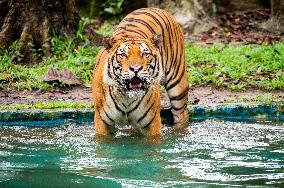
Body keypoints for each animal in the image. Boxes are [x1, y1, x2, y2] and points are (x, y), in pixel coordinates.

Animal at [92, 7, 189, 137]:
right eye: (123, 54)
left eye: (145, 54)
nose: (136, 69)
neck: (126, 98)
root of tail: (155, 8)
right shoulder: (102, 122)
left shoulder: (152, 122)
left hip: (178, 85)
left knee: (181, 115)